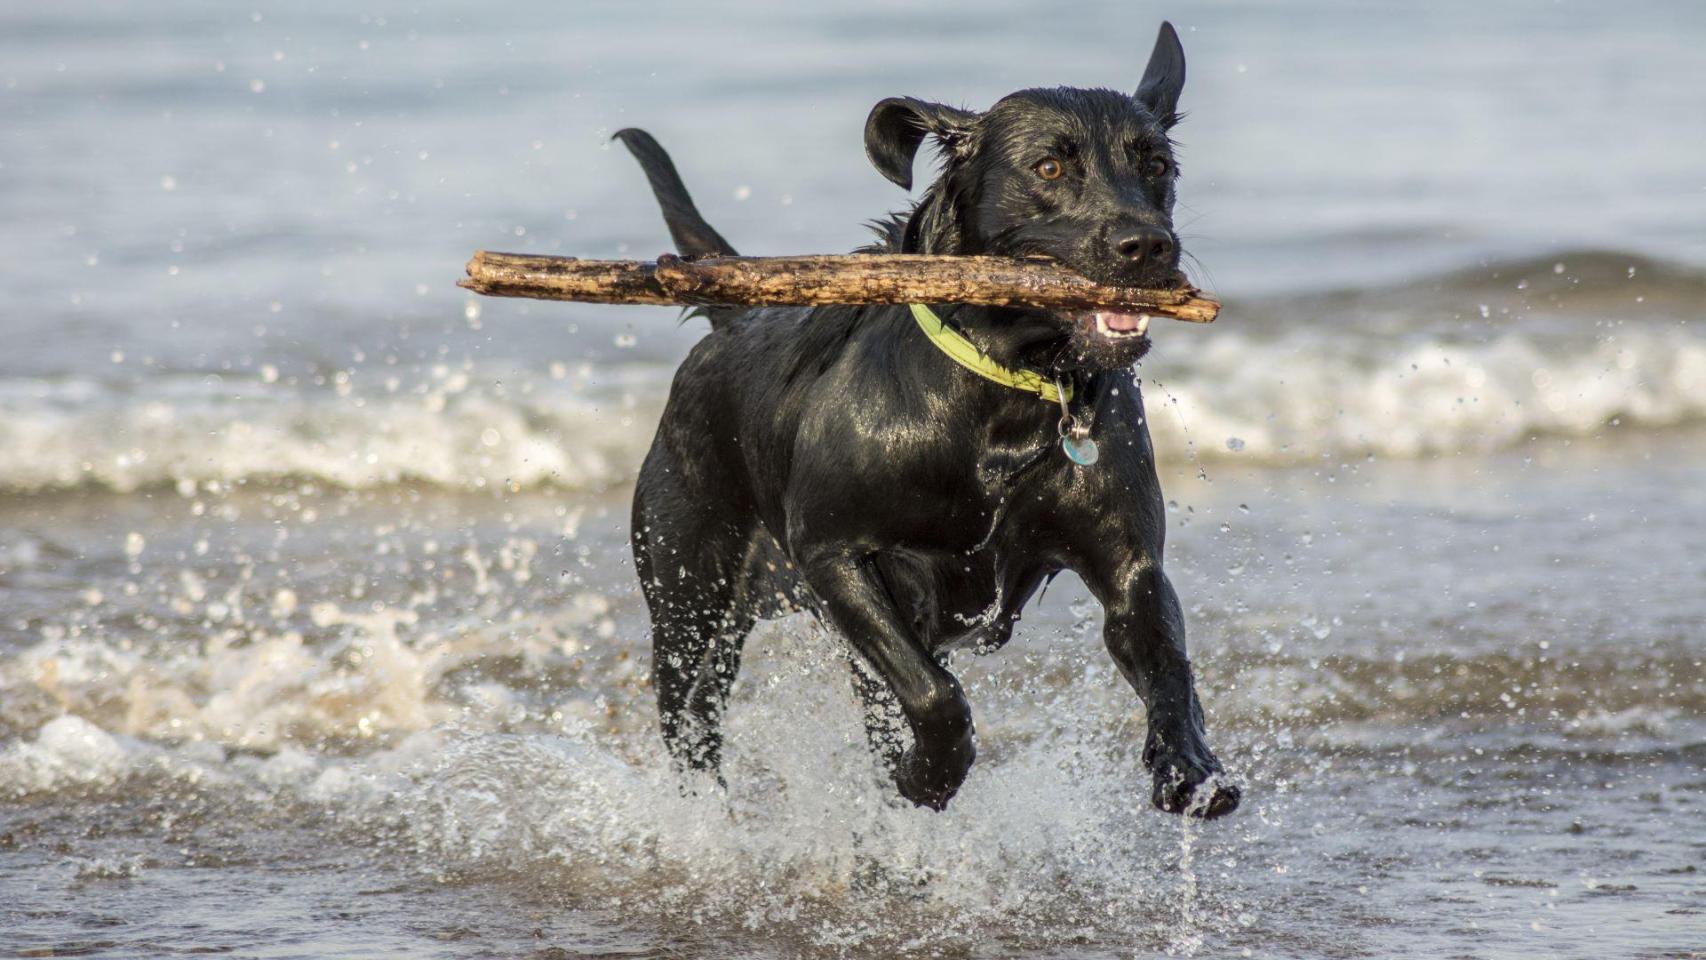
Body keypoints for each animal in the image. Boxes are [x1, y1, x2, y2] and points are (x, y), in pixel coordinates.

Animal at [620, 20, 1235, 818]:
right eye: (1049, 167)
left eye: (1156, 164)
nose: (1148, 244)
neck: (1004, 403)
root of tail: (736, 319)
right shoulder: (835, 554)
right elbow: (934, 694)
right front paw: (931, 776)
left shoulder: (1129, 566)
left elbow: (1169, 663)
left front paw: (1189, 765)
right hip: (689, 600)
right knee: (692, 714)